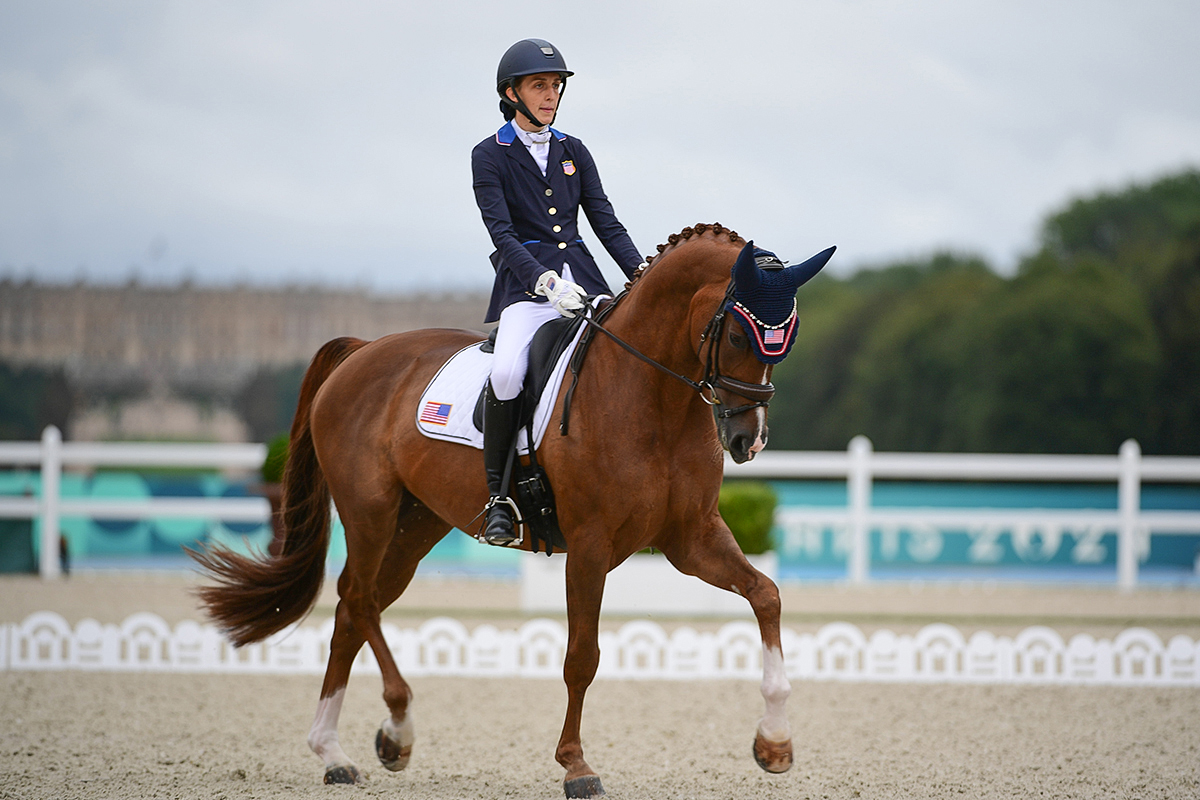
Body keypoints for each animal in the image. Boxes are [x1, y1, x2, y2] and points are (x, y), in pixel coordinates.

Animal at [194, 221, 835, 796]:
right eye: (739, 336)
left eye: (787, 339)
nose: (748, 440)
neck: (653, 396)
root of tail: (362, 350)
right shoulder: (591, 545)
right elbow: (582, 657)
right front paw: (576, 766)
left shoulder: (691, 538)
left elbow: (766, 595)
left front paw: (775, 743)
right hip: (370, 511)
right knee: (358, 597)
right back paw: (393, 730)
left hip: (416, 525)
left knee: (357, 608)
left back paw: (339, 751)